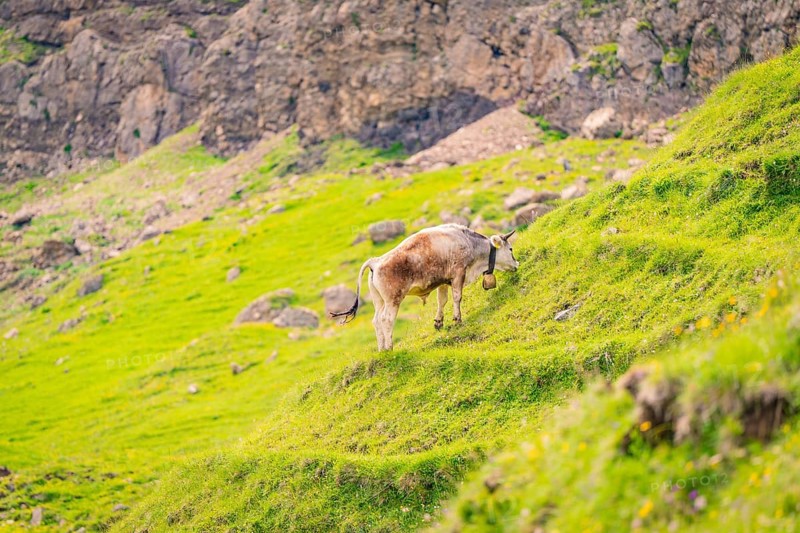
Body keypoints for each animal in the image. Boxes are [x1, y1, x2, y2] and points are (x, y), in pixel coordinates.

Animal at [331, 224, 519, 351]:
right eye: (510, 249)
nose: (517, 264)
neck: (468, 242)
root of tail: (376, 261)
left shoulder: (444, 281)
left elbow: (442, 300)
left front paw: (438, 322)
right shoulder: (458, 274)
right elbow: (457, 297)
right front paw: (457, 319)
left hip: (379, 301)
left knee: (376, 320)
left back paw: (382, 349)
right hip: (393, 300)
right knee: (386, 320)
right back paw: (390, 347)